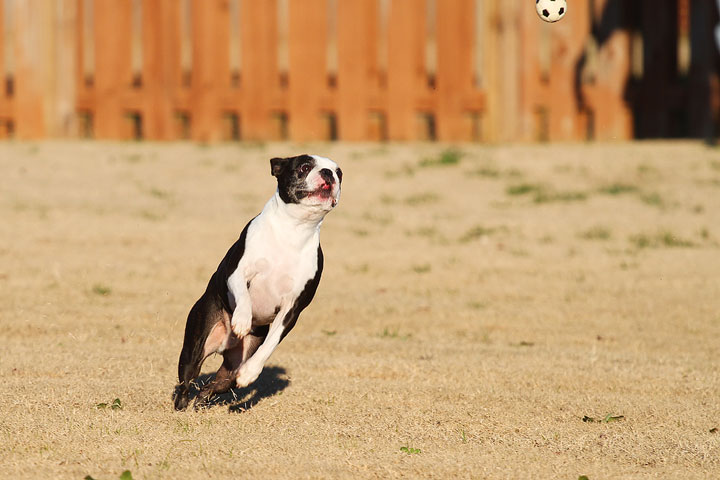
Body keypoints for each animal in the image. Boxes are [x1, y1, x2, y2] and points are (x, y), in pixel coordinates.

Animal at [174, 156, 344, 410]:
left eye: (338, 173)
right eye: (304, 167)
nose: (327, 173)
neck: (293, 231)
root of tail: (226, 345)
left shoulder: (292, 309)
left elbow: (270, 345)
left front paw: (250, 374)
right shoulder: (237, 273)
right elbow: (243, 296)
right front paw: (242, 320)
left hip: (234, 364)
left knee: (216, 384)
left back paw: (204, 398)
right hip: (195, 348)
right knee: (186, 380)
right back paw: (182, 404)